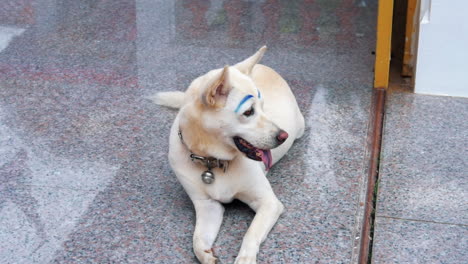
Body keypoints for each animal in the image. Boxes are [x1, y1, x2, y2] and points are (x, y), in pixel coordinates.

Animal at [154, 46, 308, 262]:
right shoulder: (207, 206)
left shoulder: (269, 203)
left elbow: (251, 233)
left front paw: (245, 258)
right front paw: (207, 256)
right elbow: (197, 240)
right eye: (248, 112)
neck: (213, 161)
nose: (283, 136)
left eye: (263, 107)